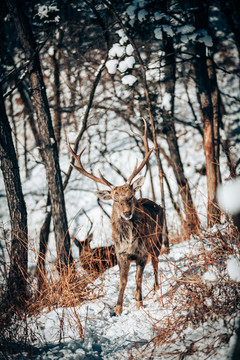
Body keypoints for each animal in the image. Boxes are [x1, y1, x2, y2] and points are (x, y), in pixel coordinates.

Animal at [67, 119, 167, 316]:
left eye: (131, 196)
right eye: (115, 199)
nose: (127, 213)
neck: (129, 241)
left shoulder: (142, 252)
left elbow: (138, 278)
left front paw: (140, 304)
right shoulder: (120, 254)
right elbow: (123, 280)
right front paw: (118, 308)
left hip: (157, 241)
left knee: (155, 263)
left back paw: (155, 289)